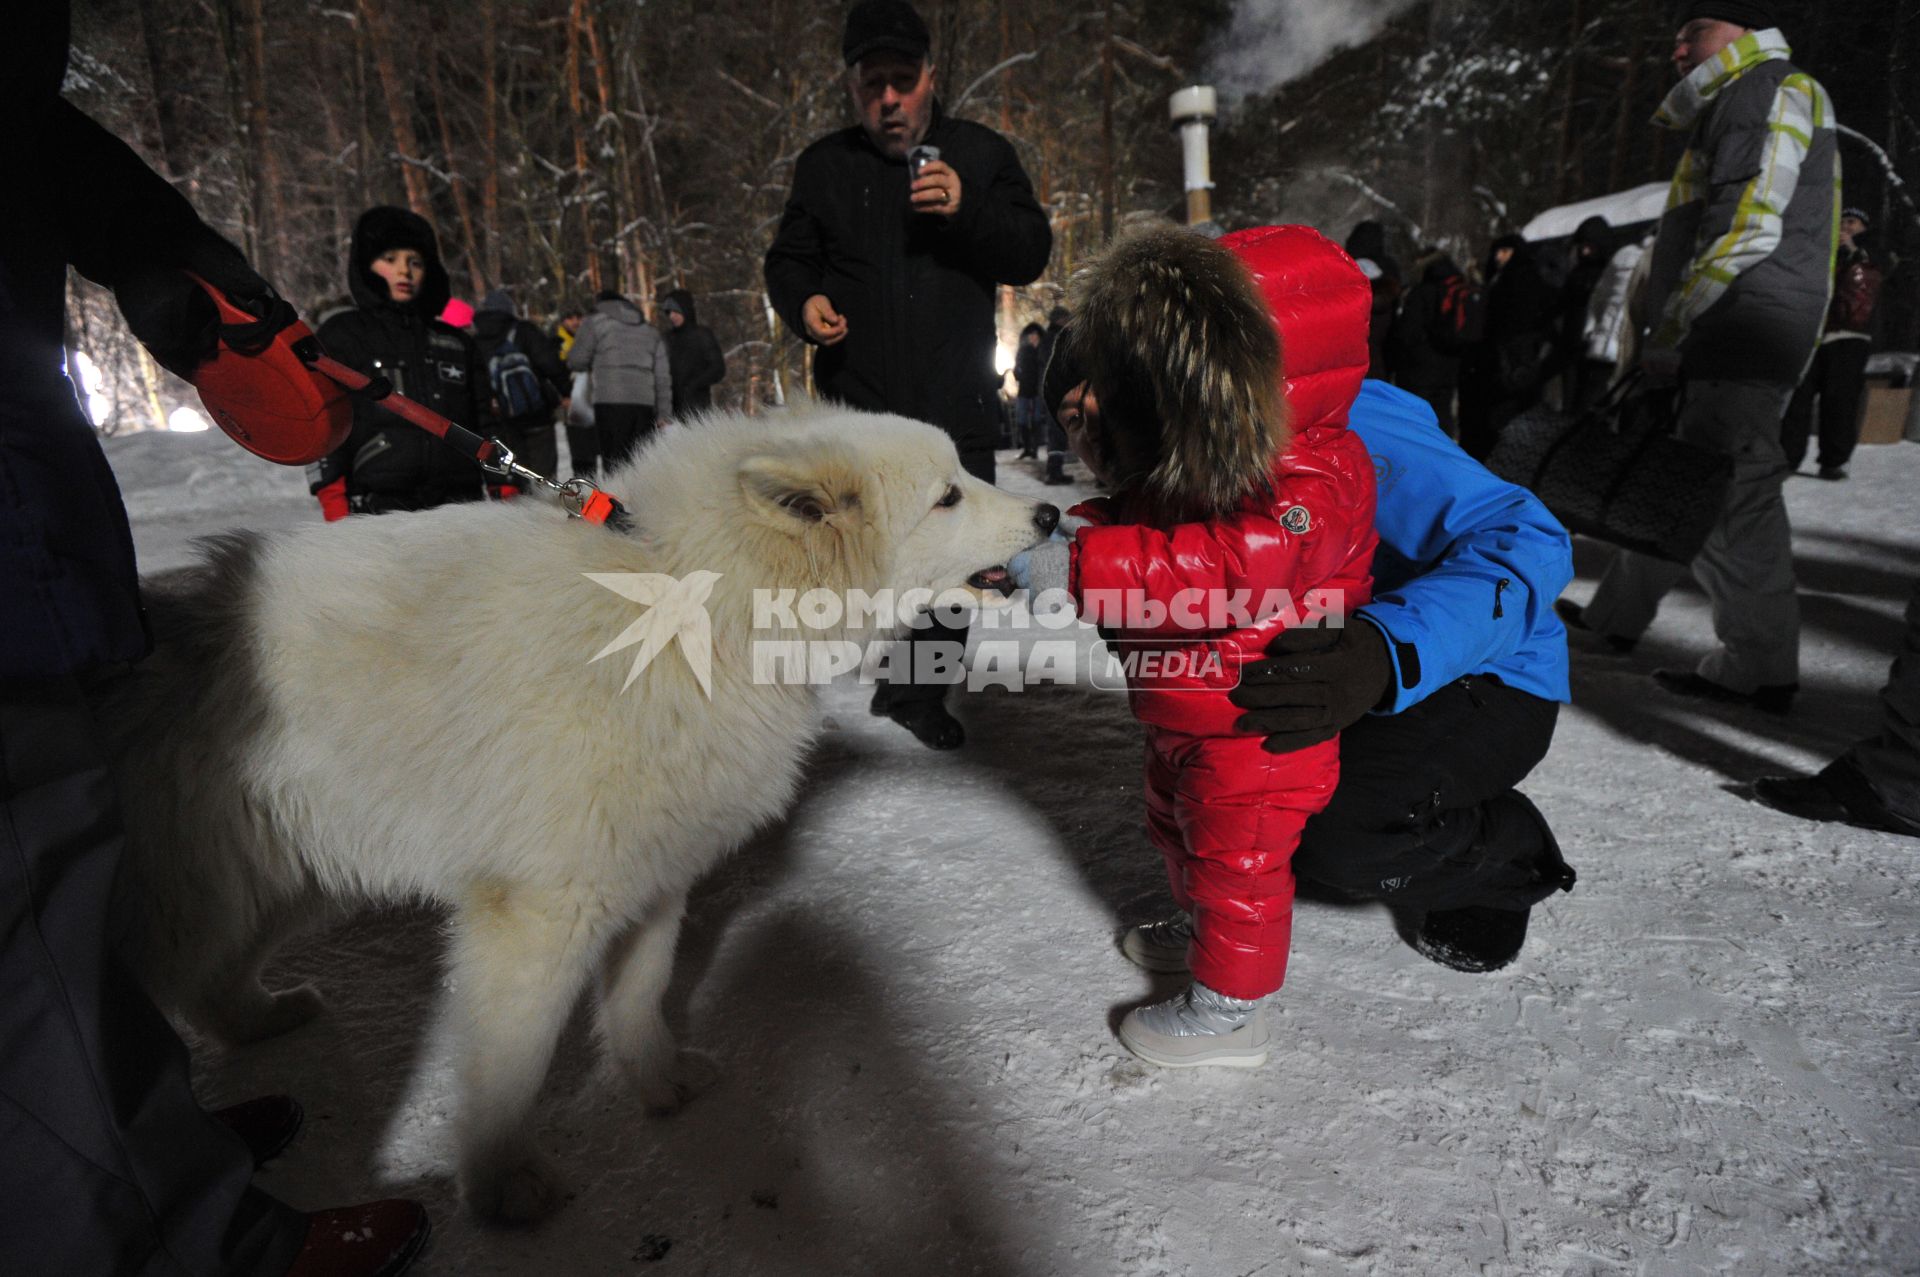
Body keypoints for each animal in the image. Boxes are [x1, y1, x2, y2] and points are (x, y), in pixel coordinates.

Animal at [101, 405, 1067, 1213]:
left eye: (964, 473)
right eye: (949, 493)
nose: (1052, 517)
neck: (693, 604)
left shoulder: (654, 873)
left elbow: (640, 996)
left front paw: (658, 1085)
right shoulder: (539, 911)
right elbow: (511, 1066)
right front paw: (499, 1187)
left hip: (276, 876)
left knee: (208, 981)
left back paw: (264, 1018)